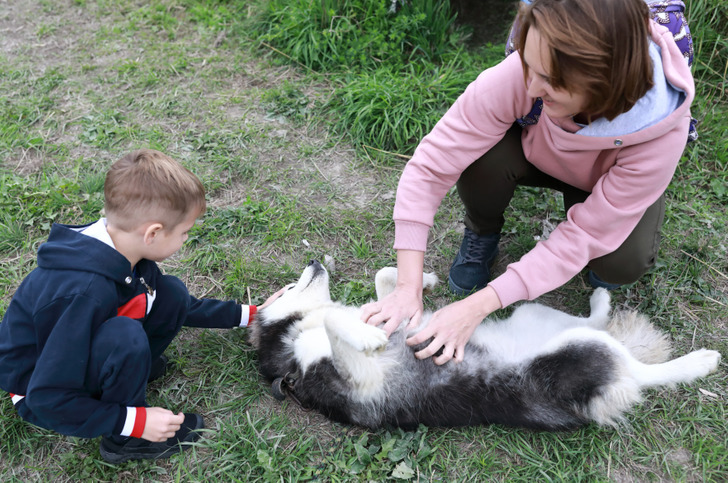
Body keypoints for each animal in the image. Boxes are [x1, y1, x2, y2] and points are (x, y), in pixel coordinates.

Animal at [247, 260, 720, 432]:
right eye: (286, 287)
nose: (314, 261)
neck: (295, 341)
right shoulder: (361, 383)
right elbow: (337, 321)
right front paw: (368, 335)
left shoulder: (403, 322)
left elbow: (386, 284)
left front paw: (421, 282)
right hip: (578, 348)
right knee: (643, 374)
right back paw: (701, 362)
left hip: (535, 313)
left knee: (598, 323)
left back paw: (601, 300)